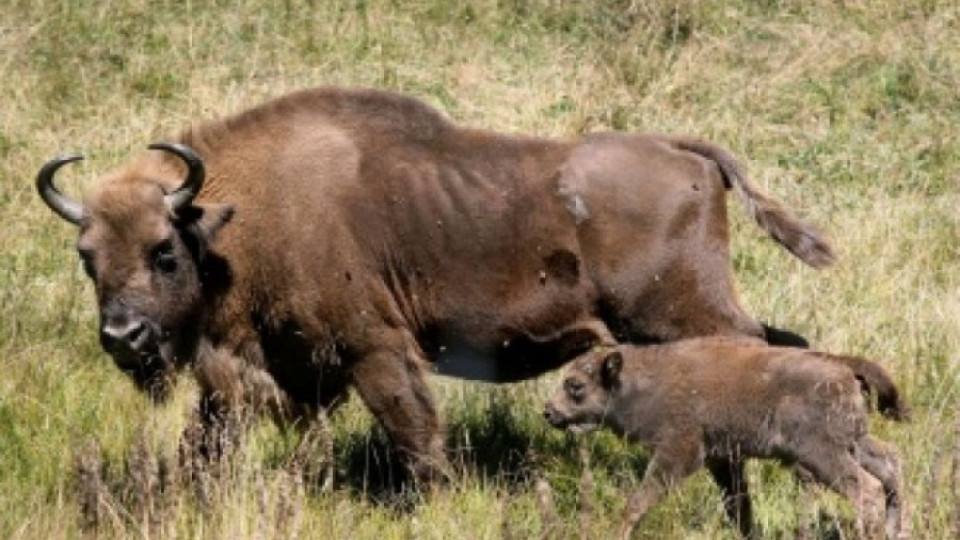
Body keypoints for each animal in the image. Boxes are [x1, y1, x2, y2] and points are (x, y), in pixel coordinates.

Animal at [37, 86, 832, 478]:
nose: (123, 336)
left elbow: (415, 435)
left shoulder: (375, 351)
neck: (241, 213)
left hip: (681, 316)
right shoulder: (271, 372)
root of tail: (686, 155)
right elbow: (204, 443)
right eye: (86, 255)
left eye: (164, 250)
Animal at [548, 338, 908, 540]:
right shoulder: (721, 459)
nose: (549, 412)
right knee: (890, 464)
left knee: (868, 489)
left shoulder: (679, 452)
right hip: (855, 443)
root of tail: (842, 365)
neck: (640, 381)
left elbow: (638, 501)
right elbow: (737, 504)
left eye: (576, 386)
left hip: (822, 455)